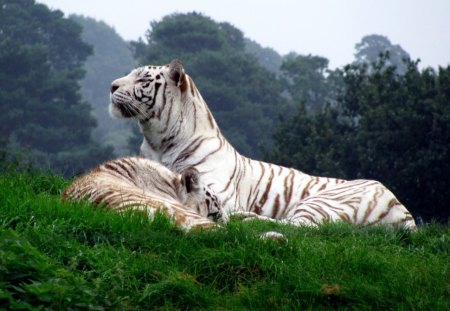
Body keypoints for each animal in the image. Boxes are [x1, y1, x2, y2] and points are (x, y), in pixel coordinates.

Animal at [109, 59, 418, 230]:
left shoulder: (216, 191)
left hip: (323, 201)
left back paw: (246, 219)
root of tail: (405, 213)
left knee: (301, 227)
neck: (157, 141)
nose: (111, 86)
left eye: (143, 78)